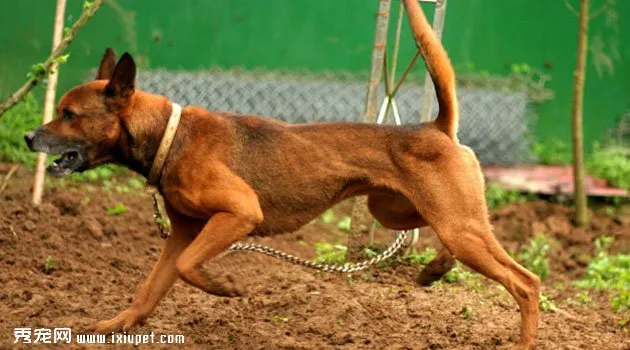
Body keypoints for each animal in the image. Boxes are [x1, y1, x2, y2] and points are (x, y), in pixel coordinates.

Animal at [22, 1, 540, 348]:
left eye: (69, 115)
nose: (27, 136)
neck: (171, 135)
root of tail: (436, 126)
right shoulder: (183, 234)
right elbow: (149, 290)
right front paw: (114, 326)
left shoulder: (238, 215)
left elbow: (190, 268)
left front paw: (224, 288)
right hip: (403, 212)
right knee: (451, 241)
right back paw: (435, 270)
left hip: (455, 223)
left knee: (525, 282)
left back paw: (522, 338)